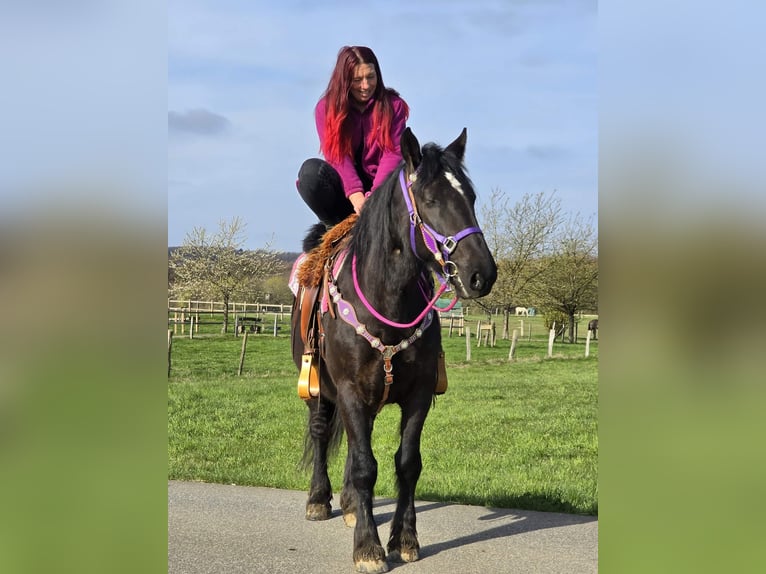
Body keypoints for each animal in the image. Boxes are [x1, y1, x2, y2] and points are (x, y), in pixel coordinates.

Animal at [290, 127, 497, 573]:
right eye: (431, 200)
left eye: (471, 198)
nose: (481, 274)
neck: (386, 303)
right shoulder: (349, 392)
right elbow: (366, 467)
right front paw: (368, 548)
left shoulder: (418, 395)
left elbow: (406, 463)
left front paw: (404, 539)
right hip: (319, 390)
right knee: (321, 434)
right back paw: (319, 500)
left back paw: (352, 504)